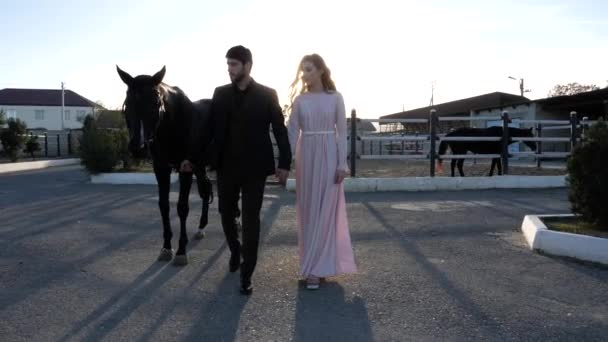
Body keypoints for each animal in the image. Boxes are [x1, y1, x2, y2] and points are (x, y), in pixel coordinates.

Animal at [118, 65, 214, 266]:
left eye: (156, 102)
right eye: (127, 103)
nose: (138, 148)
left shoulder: (185, 169)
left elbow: (182, 207)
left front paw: (181, 251)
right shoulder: (161, 168)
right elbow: (164, 206)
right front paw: (166, 248)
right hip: (200, 165)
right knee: (206, 189)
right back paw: (201, 227)